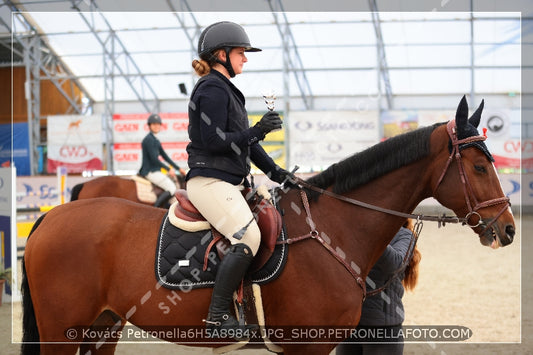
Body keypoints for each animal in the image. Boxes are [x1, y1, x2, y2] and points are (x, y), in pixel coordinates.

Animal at [21, 96, 516, 354]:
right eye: (477, 166)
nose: (508, 229)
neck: (331, 232)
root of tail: (50, 218)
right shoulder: (306, 347)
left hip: (103, 326)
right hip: (61, 332)